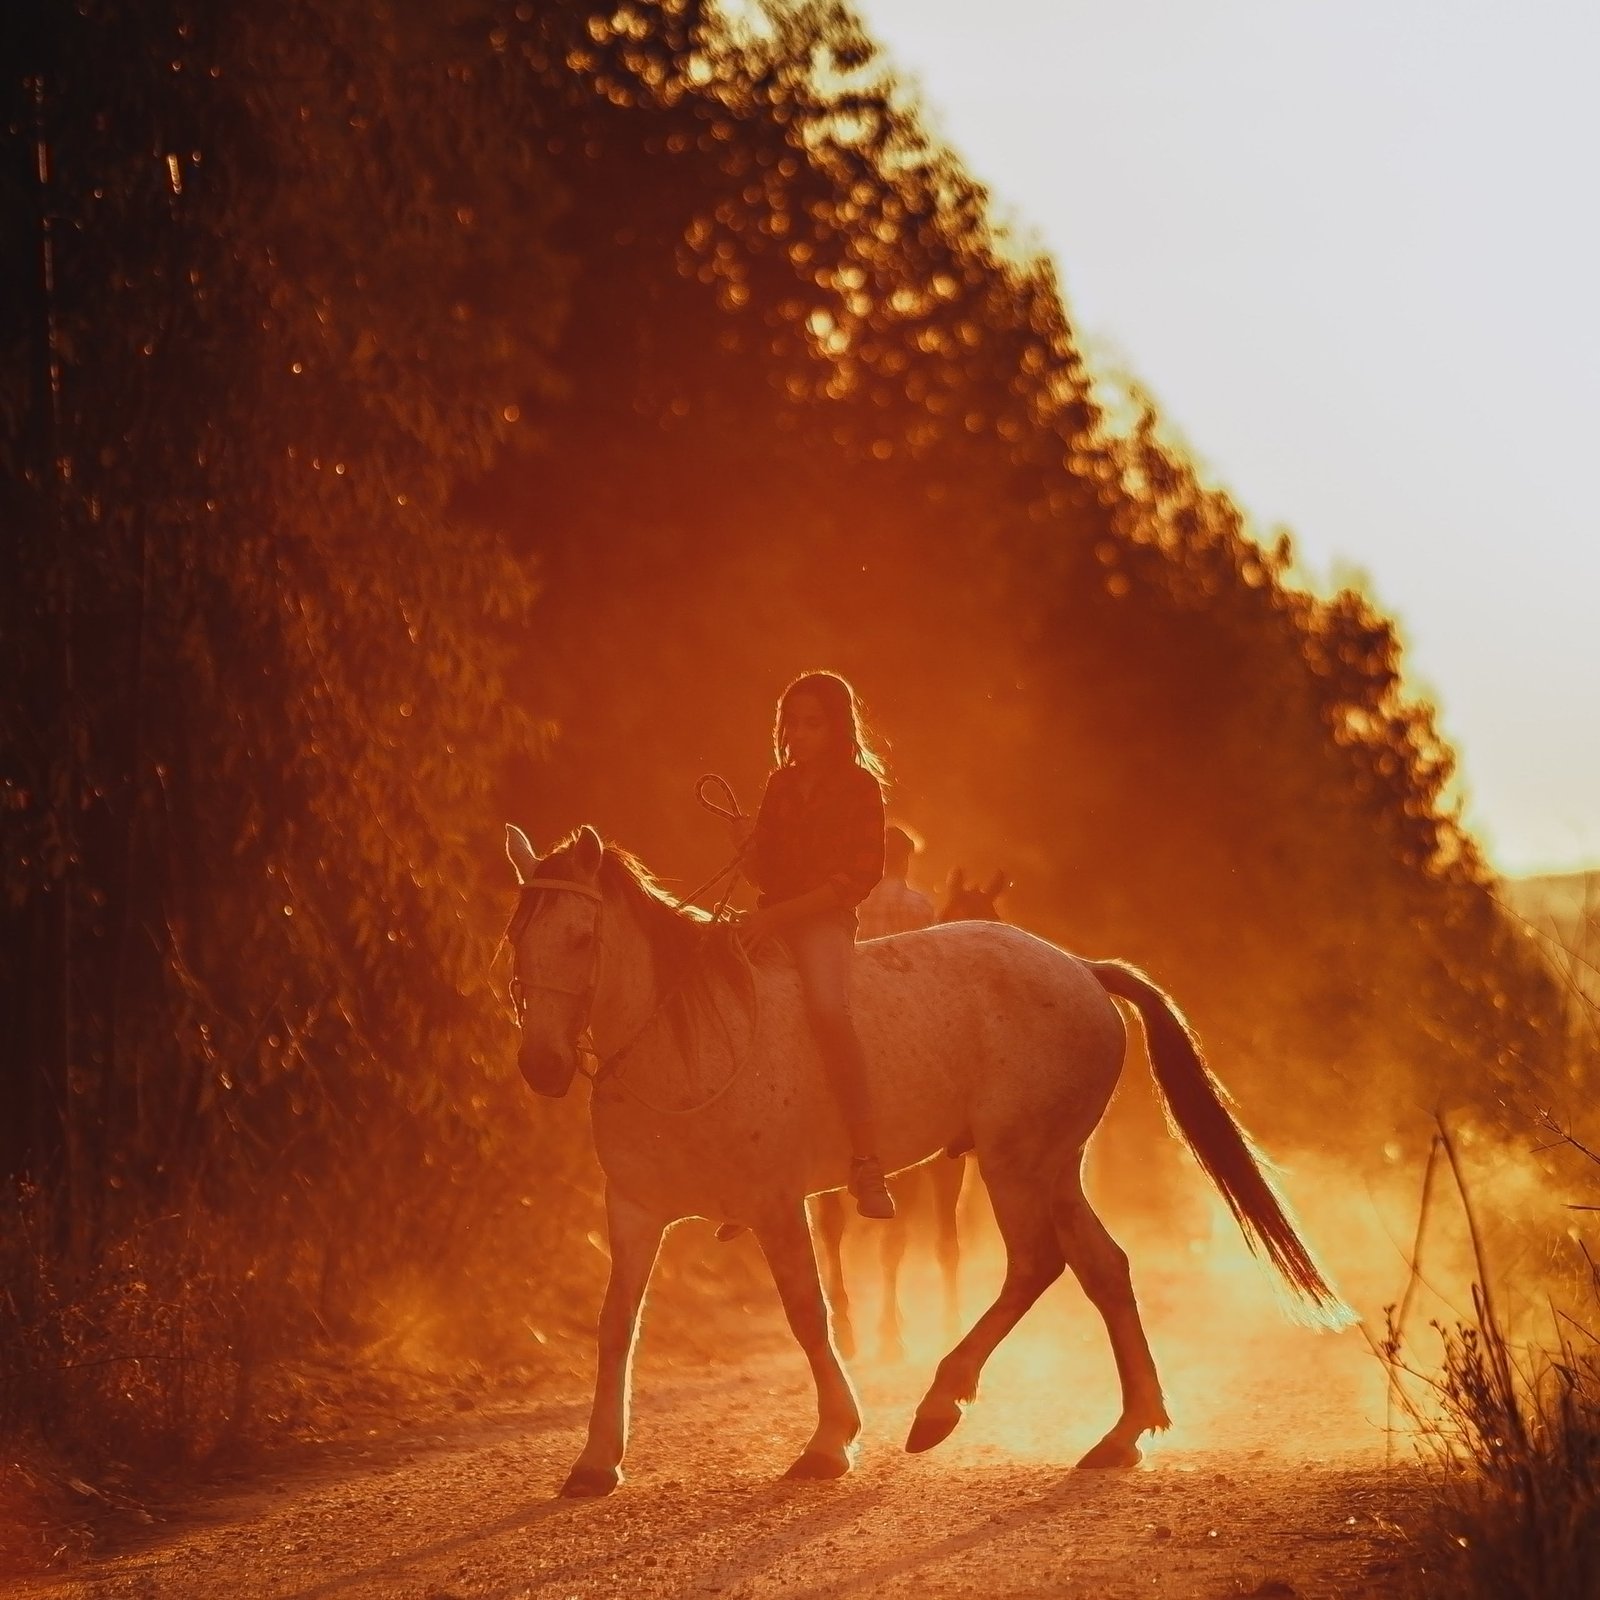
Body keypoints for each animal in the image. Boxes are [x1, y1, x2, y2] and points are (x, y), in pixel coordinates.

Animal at [811, 865, 1010, 1362]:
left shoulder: (942, 1165)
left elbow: (944, 1243)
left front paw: (948, 1323)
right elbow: (897, 1241)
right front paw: (888, 1337)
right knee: (836, 1234)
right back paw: (850, 1329)